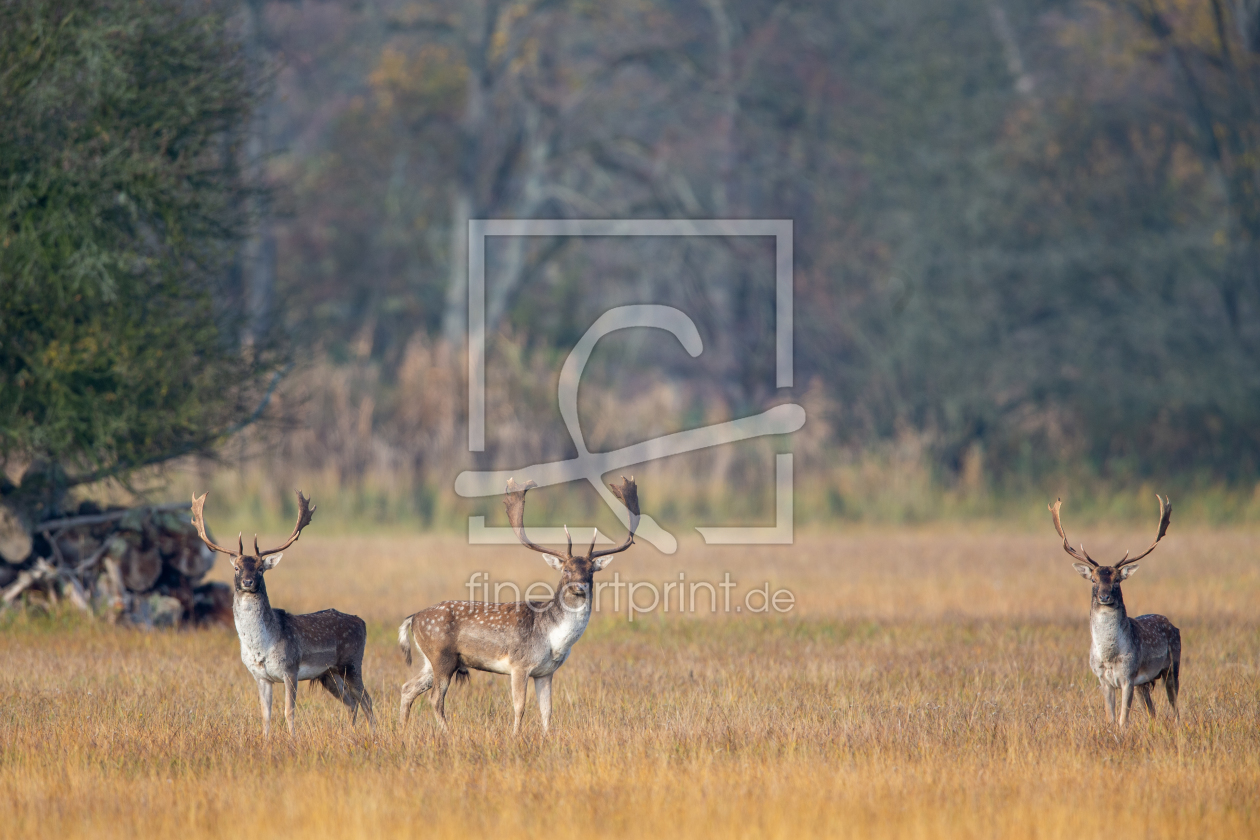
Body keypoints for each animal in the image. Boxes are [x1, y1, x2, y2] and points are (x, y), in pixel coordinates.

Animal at [189, 493, 370, 735]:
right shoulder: (260, 676)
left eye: (260, 568)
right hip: (329, 674)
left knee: (367, 700)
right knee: (352, 702)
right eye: (237, 568)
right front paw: (266, 740)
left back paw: (374, 733)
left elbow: (289, 711)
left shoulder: (290, 668)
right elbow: (266, 714)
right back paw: (350, 733)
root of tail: (362, 622)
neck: (261, 647)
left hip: (352, 663)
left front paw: (292, 739)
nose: (248, 582)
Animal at [400, 476, 640, 730]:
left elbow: (547, 711)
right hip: (441, 656)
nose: (580, 586)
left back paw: (403, 729)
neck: (553, 639)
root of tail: (413, 618)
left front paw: (547, 736)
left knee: (408, 688)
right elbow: (520, 707)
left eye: (591, 571)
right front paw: (515, 735)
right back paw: (447, 732)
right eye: (566, 570)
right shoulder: (519, 664)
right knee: (435, 698)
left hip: (431, 661)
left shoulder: (546, 672)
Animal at [1053, 496, 1179, 725]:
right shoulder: (1103, 679)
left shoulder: (1128, 677)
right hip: (1144, 683)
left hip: (1172, 666)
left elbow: (1123, 719)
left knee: (1175, 707)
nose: (1104, 597)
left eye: (1117, 580)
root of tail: (1172, 625)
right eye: (1093, 580)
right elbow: (1111, 718)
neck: (1109, 656)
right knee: (1151, 711)